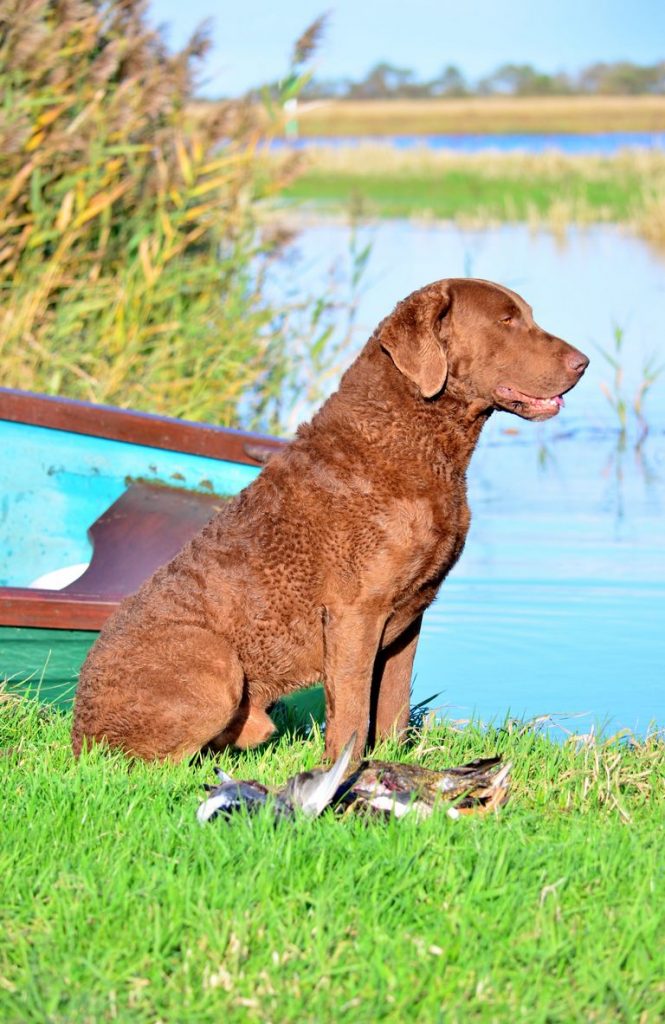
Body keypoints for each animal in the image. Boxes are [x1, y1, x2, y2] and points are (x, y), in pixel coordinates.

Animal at [71, 280, 586, 761]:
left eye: (528, 316)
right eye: (506, 321)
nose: (582, 362)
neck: (411, 439)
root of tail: (77, 733)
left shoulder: (411, 614)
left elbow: (394, 706)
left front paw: (390, 764)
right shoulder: (354, 611)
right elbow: (354, 707)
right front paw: (341, 773)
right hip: (213, 661)